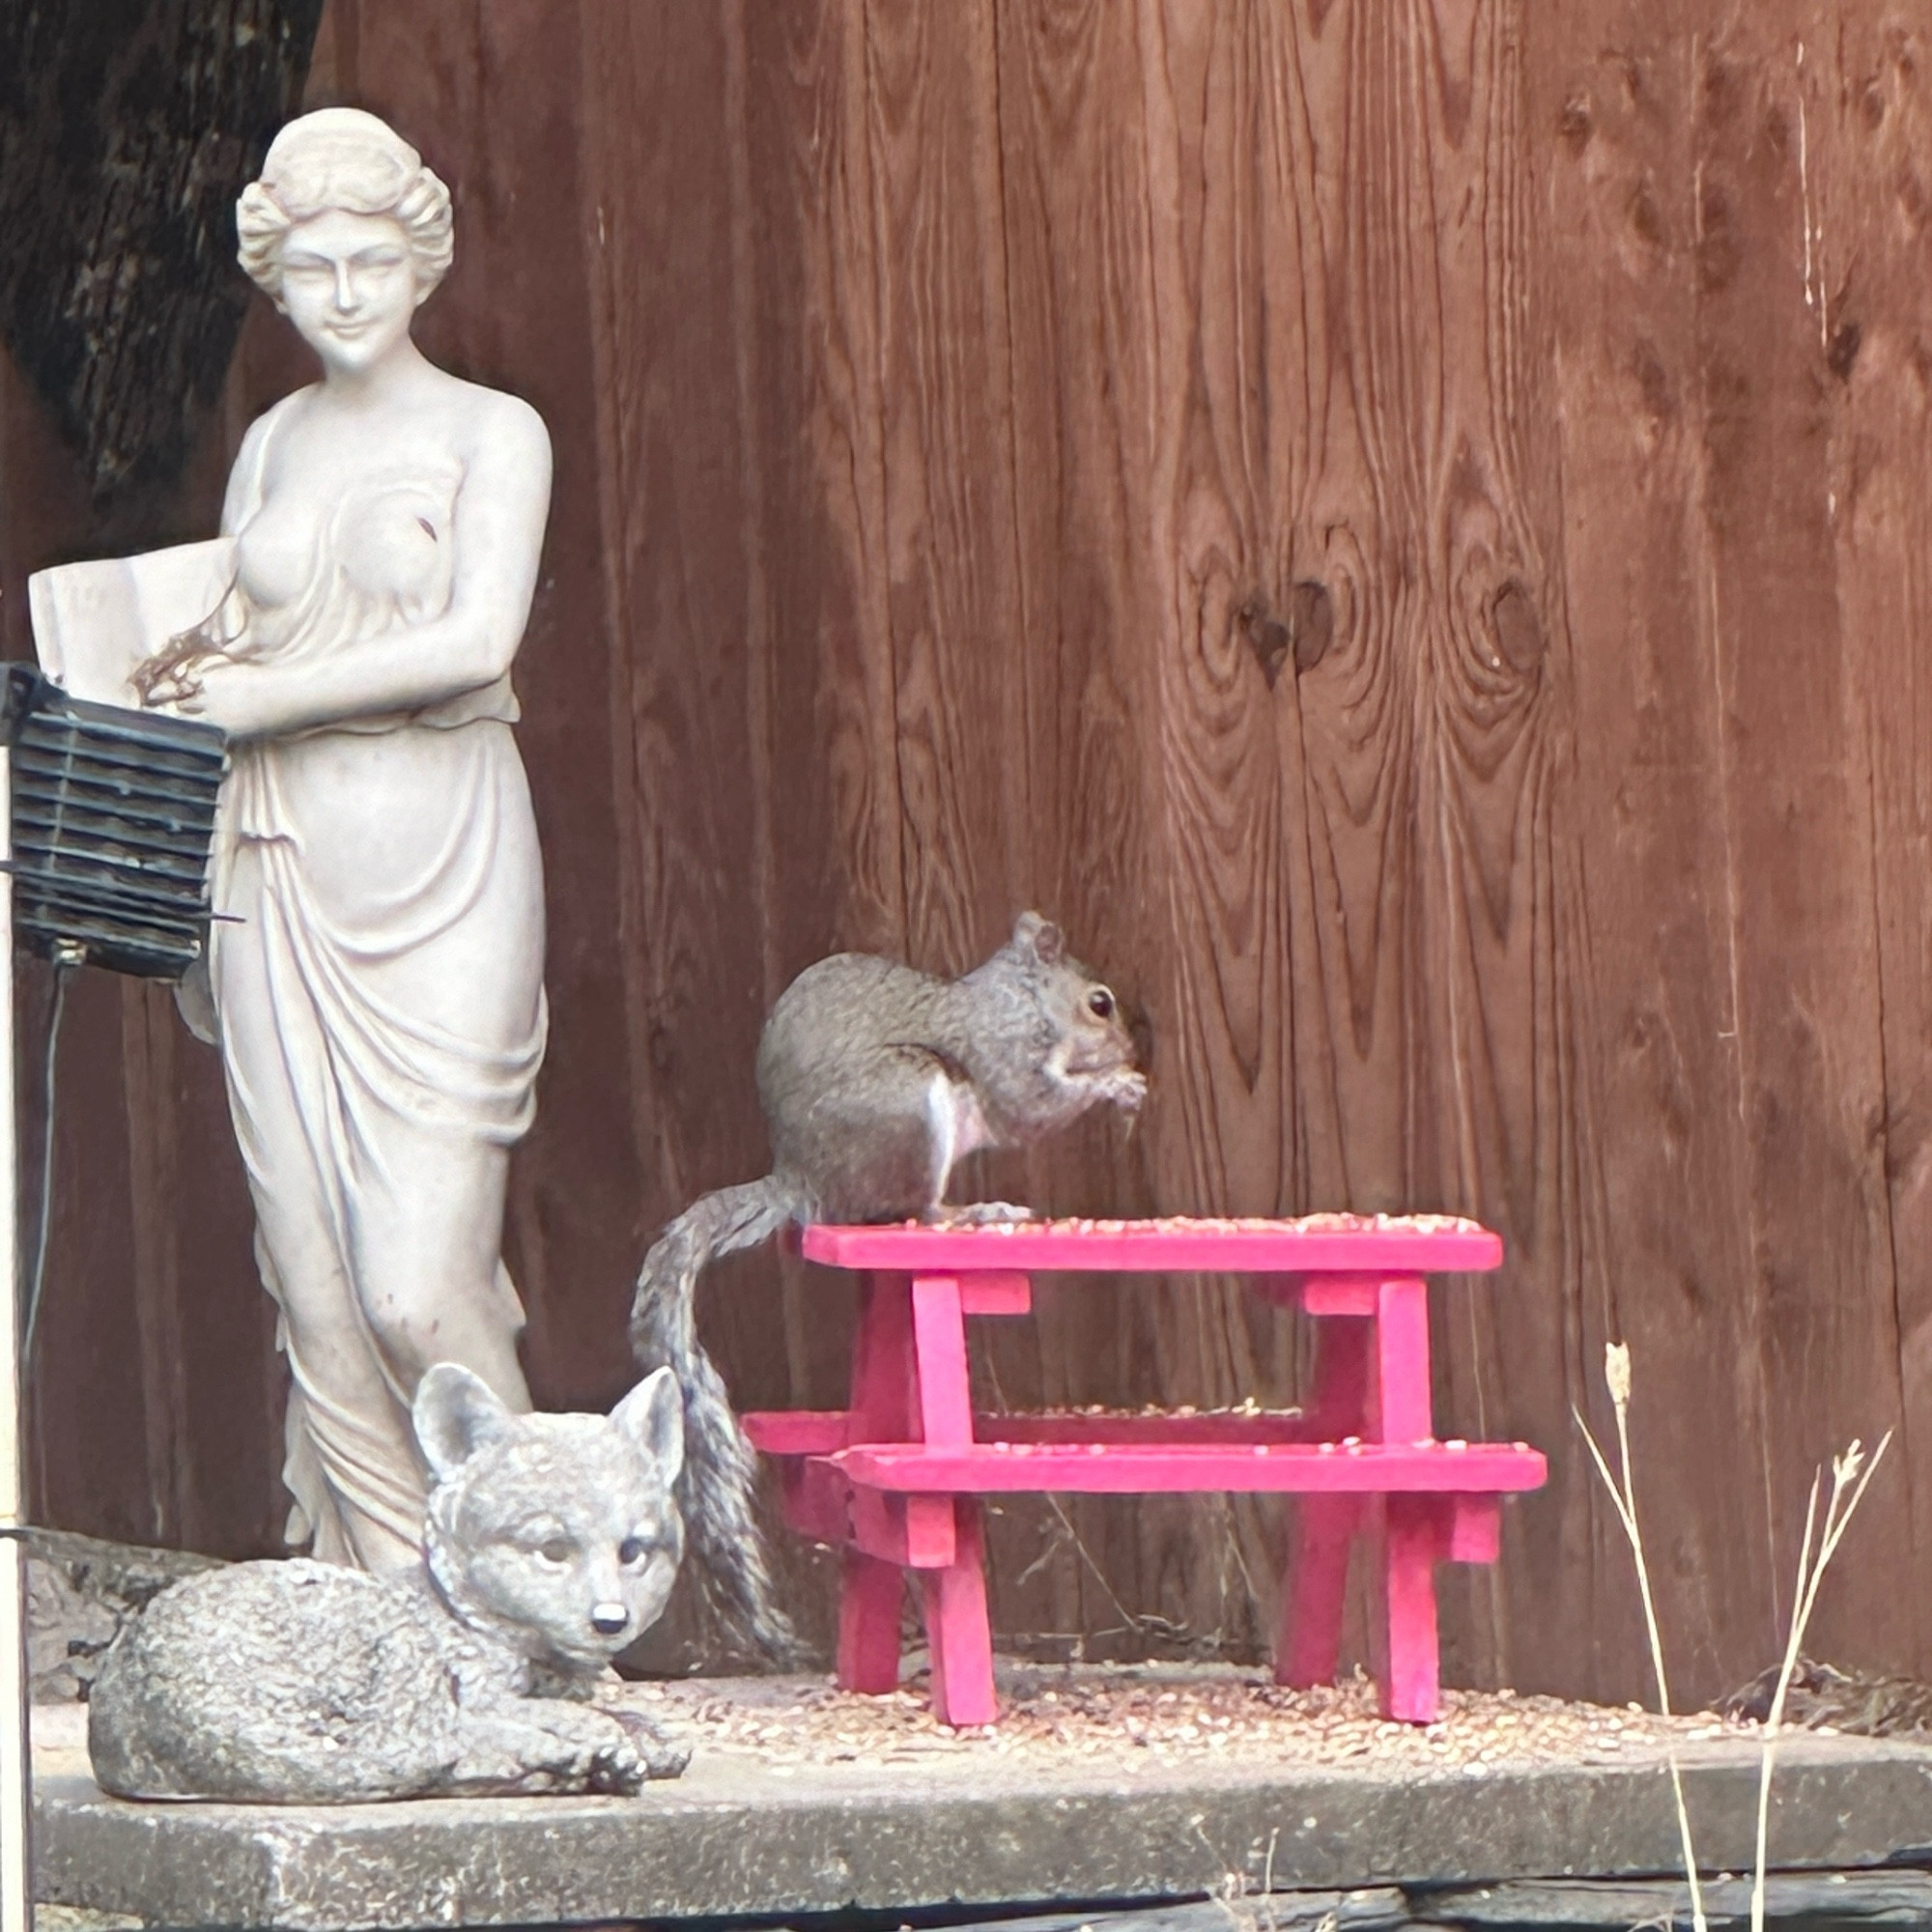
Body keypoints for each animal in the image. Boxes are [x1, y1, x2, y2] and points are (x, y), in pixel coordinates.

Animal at [92, 1368, 696, 1801]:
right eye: (552, 1550)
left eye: (632, 1552)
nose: (610, 1621)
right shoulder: (476, 1690)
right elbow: (551, 1715)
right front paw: (600, 1733)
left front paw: (626, 1734)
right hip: (396, 1651)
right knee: (434, 1748)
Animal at [634, 912, 1144, 1669]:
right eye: (1100, 1003)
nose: (1133, 1046)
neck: (1023, 999)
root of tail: (801, 1181)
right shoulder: (1004, 1055)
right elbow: (1034, 1108)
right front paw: (1118, 1084)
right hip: (908, 1102)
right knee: (918, 1209)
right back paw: (972, 1211)